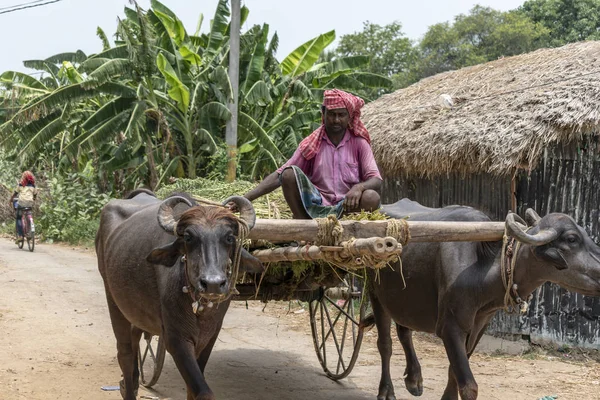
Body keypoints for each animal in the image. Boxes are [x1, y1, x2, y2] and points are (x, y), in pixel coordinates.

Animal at [96, 191, 262, 400]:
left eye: (230, 237)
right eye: (189, 238)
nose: (213, 283)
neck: (201, 308)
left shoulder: (210, 337)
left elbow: (193, 388)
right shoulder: (176, 339)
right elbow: (203, 391)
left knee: (135, 335)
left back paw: (130, 384)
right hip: (112, 296)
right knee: (124, 352)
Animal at [368, 200, 600, 400]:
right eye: (572, 239)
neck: (480, 271)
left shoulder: (480, 324)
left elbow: (454, 371)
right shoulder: (449, 326)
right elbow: (468, 385)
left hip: (403, 298)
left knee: (404, 331)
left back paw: (414, 379)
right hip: (375, 293)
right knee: (385, 344)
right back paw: (386, 390)